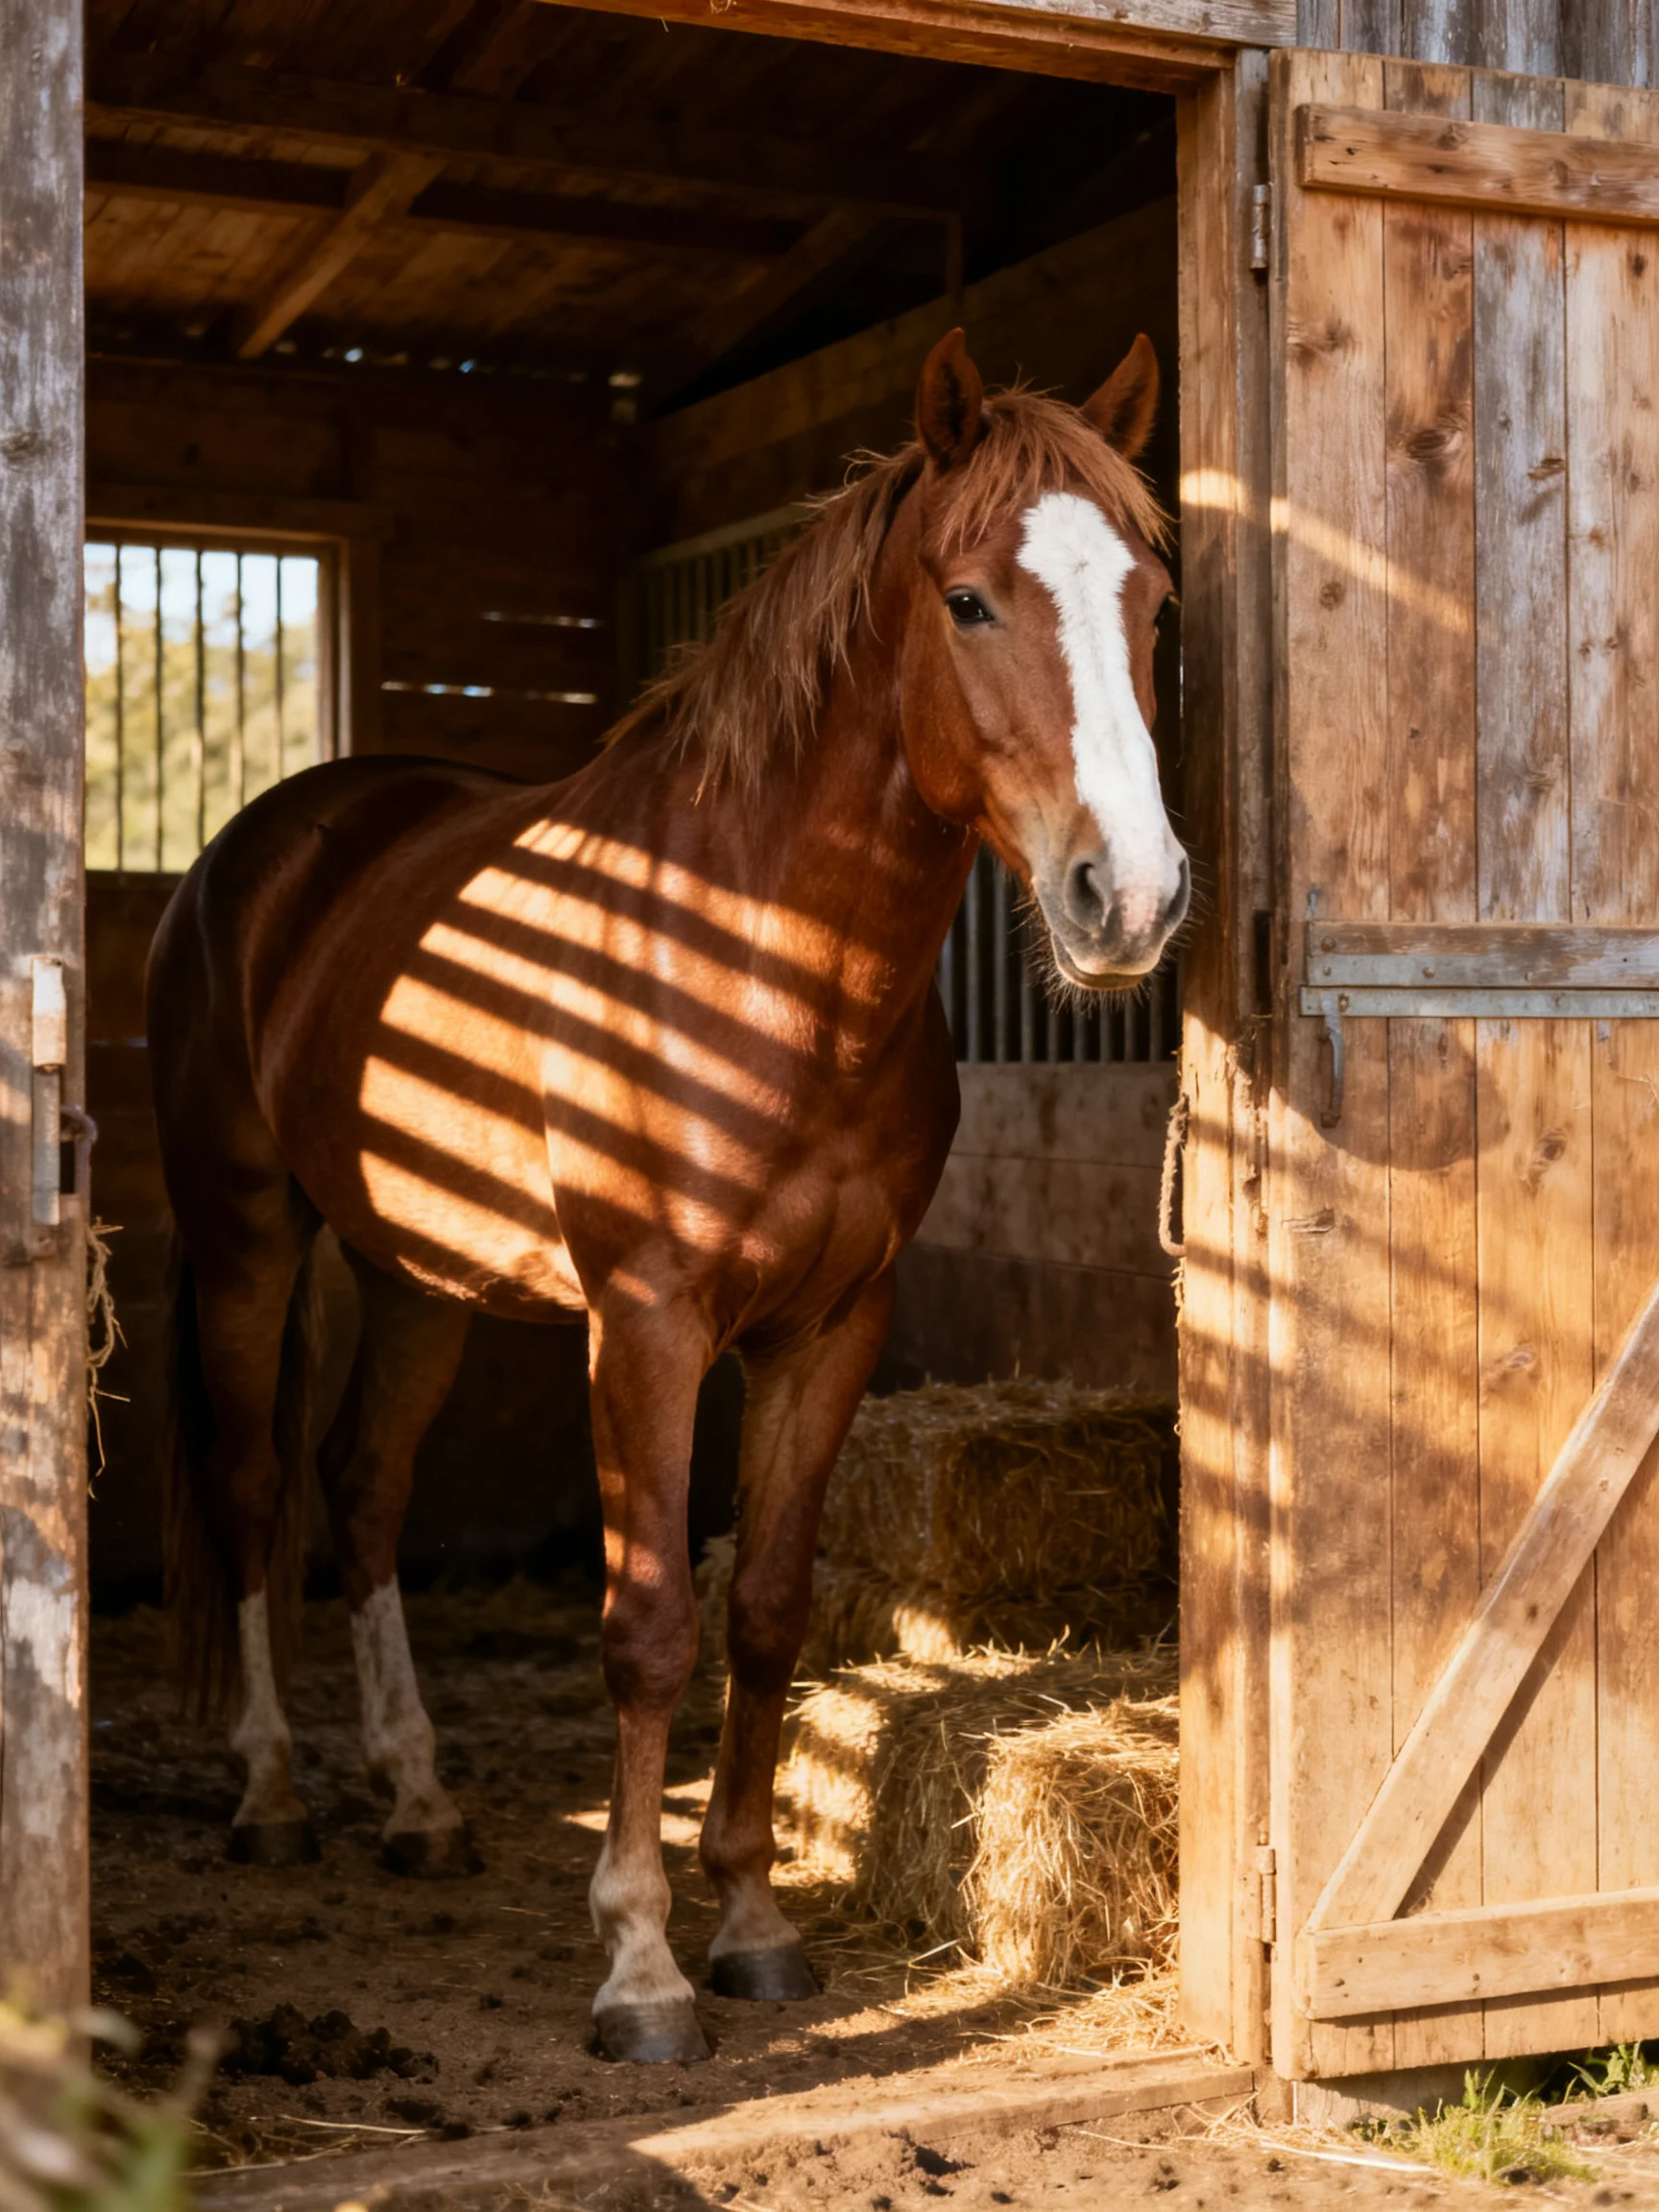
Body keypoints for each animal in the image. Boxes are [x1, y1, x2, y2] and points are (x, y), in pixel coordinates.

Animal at [146, 326, 1189, 2065]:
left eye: (1155, 601)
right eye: (969, 598)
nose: (1134, 898)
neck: (763, 951)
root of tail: (275, 840)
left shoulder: (831, 1325)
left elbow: (763, 1608)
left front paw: (755, 1925)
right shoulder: (645, 1322)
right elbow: (647, 1628)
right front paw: (637, 1968)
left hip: (419, 1273)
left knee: (363, 1490)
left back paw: (420, 1803)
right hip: (247, 1234)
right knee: (253, 1486)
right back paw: (275, 1793)